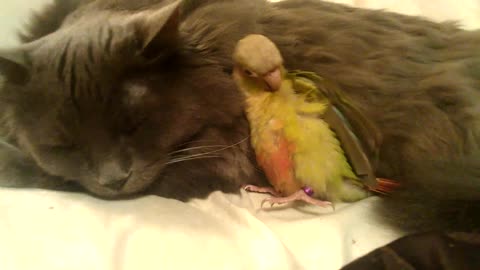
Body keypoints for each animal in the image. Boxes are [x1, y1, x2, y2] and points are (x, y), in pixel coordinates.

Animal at [0, 0, 480, 232]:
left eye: (135, 125)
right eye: (64, 144)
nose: (114, 178)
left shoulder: (225, 154)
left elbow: (58, 177)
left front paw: (9, 163)